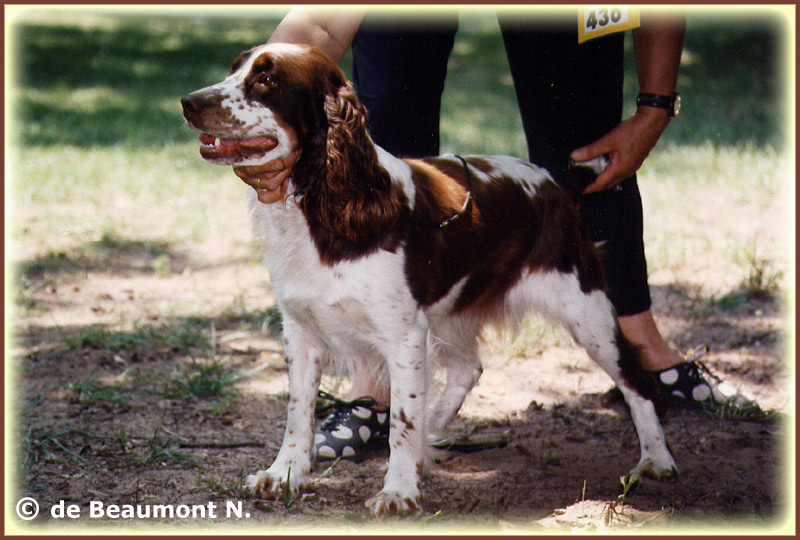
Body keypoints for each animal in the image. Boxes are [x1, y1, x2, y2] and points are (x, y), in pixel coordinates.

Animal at [181, 42, 676, 516]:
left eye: (267, 79)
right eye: (234, 68)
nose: (188, 101)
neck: (326, 206)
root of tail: (553, 181)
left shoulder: (403, 333)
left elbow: (401, 420)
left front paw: (399, 492)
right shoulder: (302, 332)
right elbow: (298, 412)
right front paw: (284, 474)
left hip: (586, 311)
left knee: (637, 379)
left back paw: (656, 459)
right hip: (452, 312)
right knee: (467, 368)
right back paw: (433, 434)